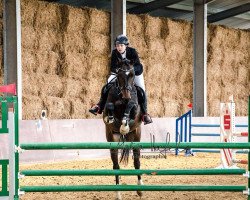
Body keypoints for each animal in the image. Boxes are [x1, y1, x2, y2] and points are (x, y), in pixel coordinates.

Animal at [103, 58, 143, 199]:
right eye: (119, 75)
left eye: (132, 75)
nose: (126, 96)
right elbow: (109, 105)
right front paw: (110, 118)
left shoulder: (135, 109)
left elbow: (131, 105)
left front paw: (124, 125)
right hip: (112, 139)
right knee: (116, 166)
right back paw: (118, 193)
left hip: (136, 136)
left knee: (137, 162)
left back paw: (140, 189)